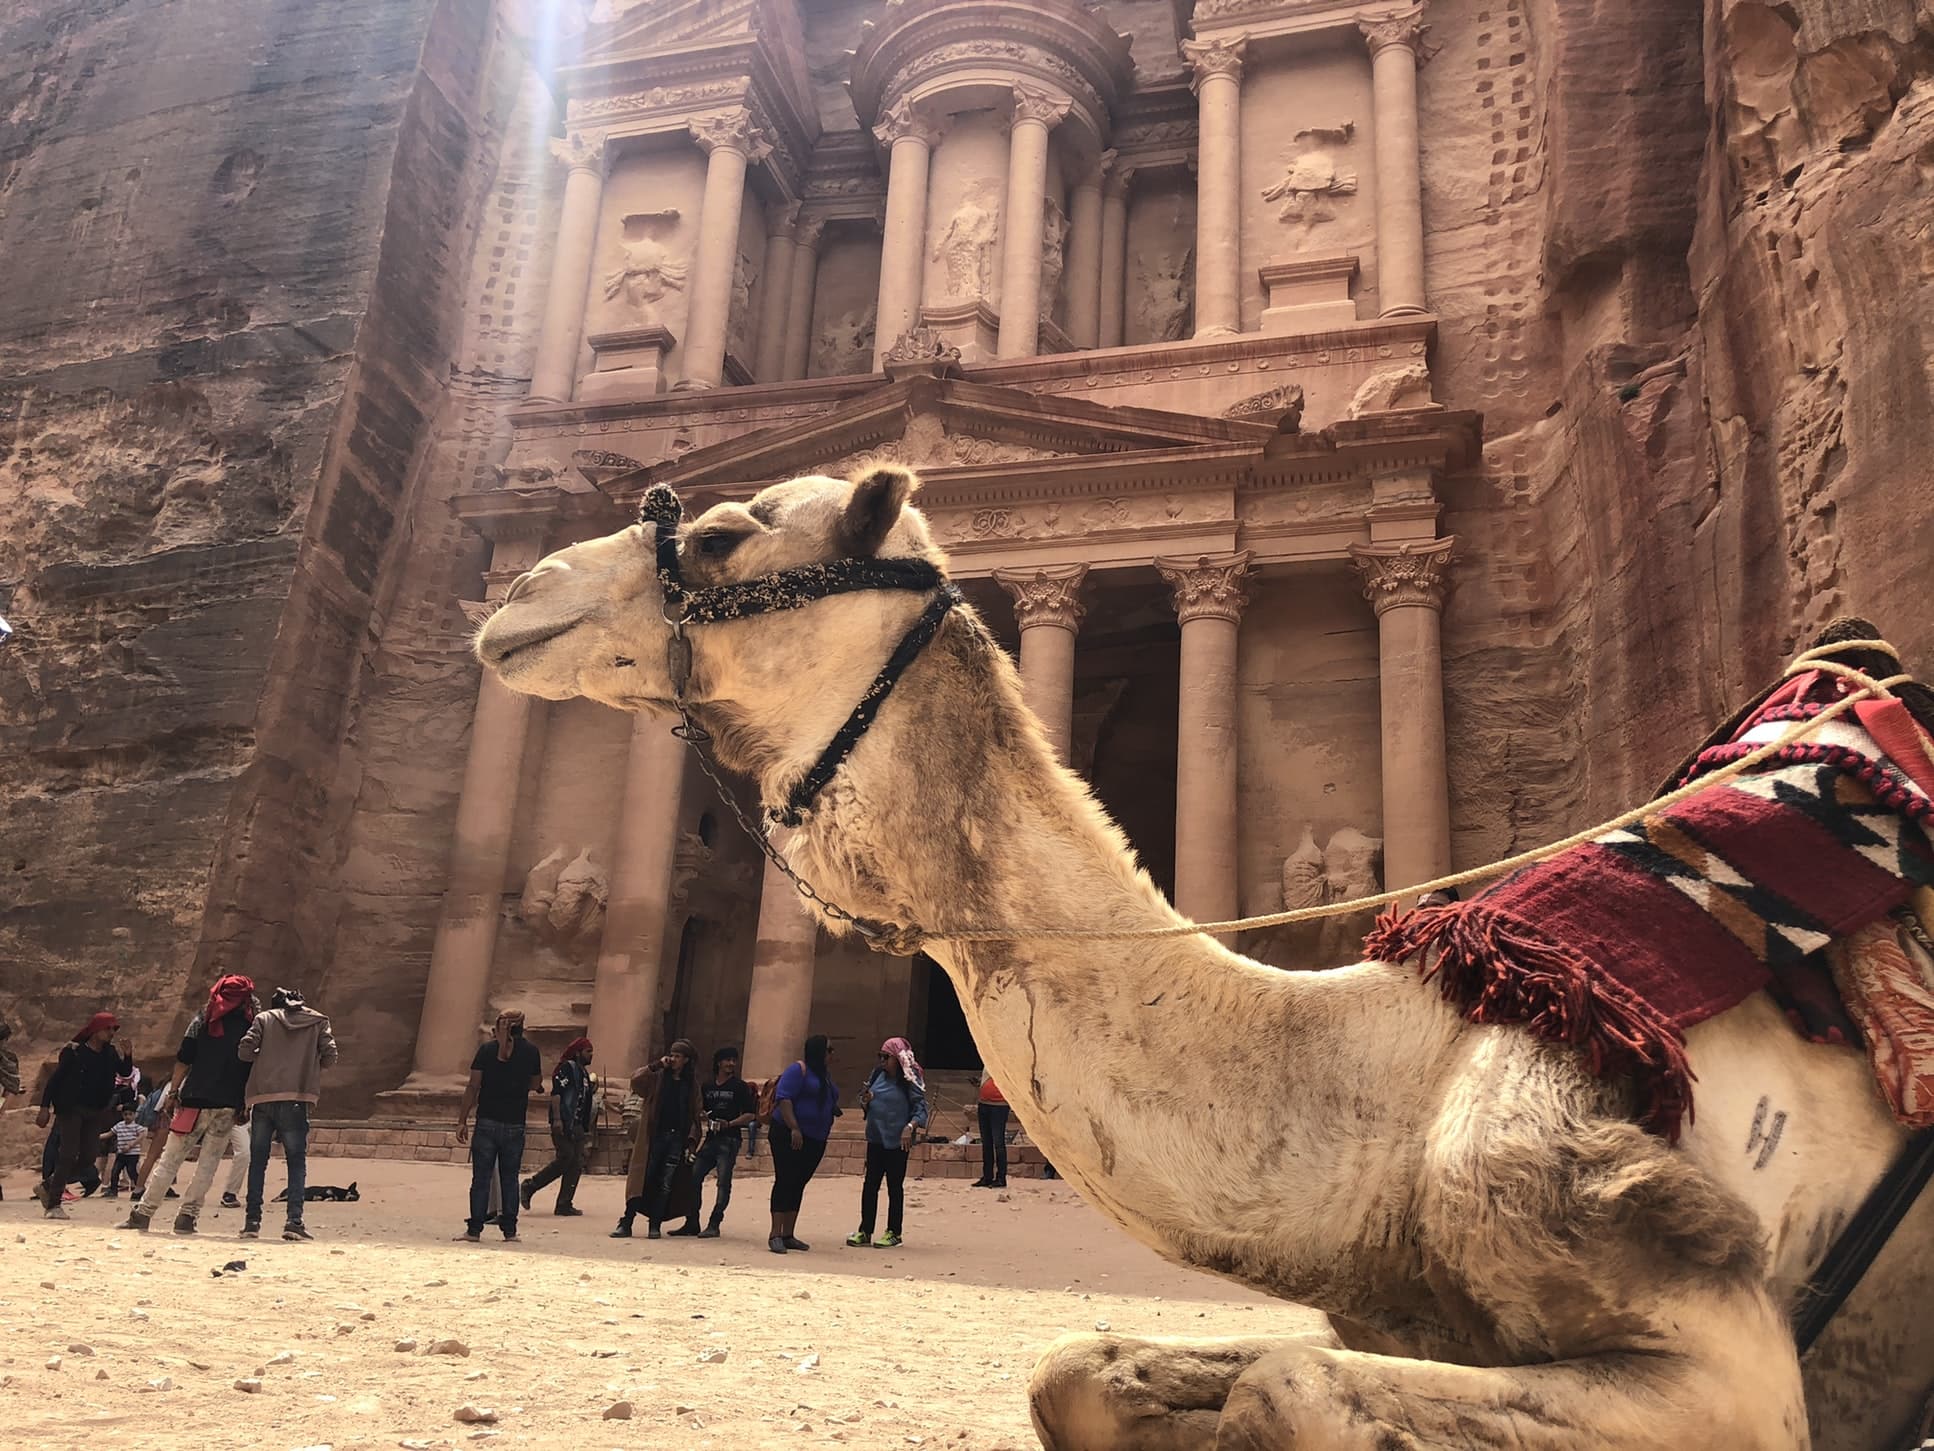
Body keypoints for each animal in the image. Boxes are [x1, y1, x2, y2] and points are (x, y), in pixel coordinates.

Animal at [471, 472, 1934, 1447]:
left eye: (723, 534)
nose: (517, 594)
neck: (1384, 1082)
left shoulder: (1727, 1362)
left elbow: (1287, 1391)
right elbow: (1076, 1369)